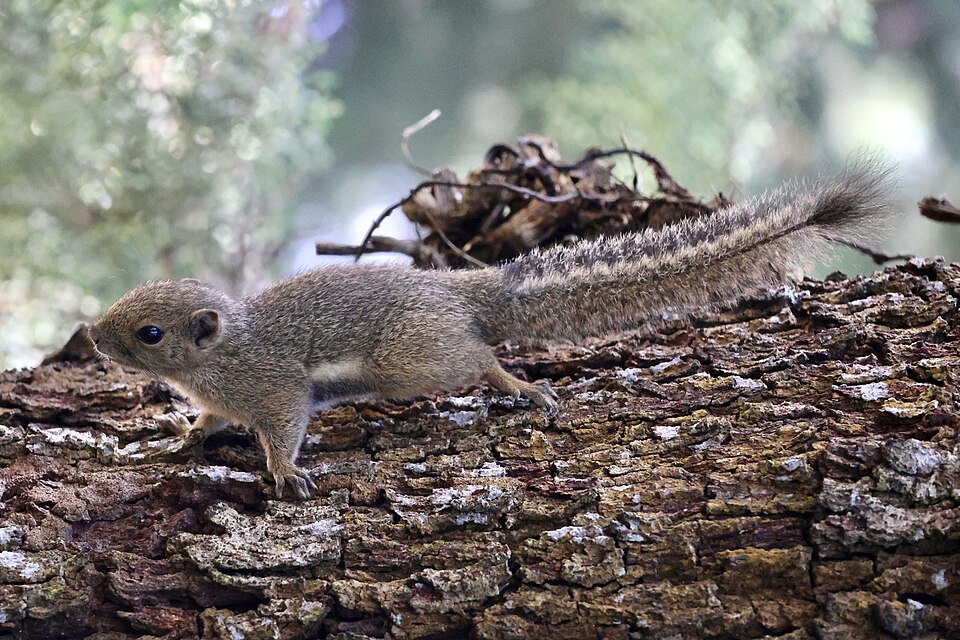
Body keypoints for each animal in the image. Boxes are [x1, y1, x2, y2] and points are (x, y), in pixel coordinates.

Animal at [89, 162, 892, 499]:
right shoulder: (224, 399)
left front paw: (285, 472)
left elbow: (284, 428)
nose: (92, 337)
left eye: (150, 333)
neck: (219, 357)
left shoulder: (276, 388)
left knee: (478, 358)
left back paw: (522, 386)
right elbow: (205, 422)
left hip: (414, 362)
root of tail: (464, 288)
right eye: (125, 301)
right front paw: (180, 435)